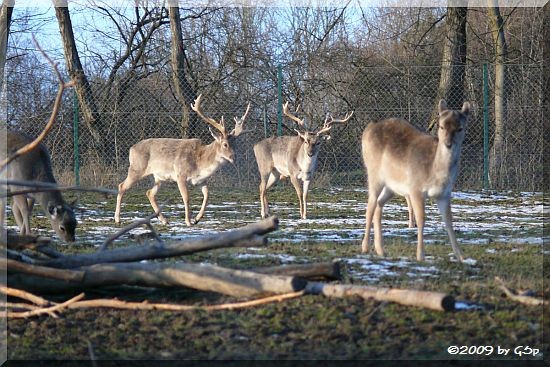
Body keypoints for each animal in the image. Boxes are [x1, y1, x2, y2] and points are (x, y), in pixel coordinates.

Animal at [117, 94, 254, 227]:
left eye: (235, 144)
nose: (233, 157)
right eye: (225, 144)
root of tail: (131, 149)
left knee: (149, 193)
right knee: (122, 186)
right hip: (137, 168)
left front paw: (197, 219)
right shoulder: (180, 174)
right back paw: (118, 219)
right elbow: (186, 197)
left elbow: (207, 195)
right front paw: (188, 221)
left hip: (159, 177)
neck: (200, 163)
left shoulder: (201, 180)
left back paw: (164, 221)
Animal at [362, 100, 470, 262]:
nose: (448, 143)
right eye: (441, 126)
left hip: (391, 186)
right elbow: (421, 219)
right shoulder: (415, 189)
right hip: (373, 173)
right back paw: (365, 247)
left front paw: (461, 256)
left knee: (379, 204)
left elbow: (449, 221)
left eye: (460, 128)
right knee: (370, 205)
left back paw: (381, 250)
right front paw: (420, 255)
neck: (435, 172)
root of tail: (367, 129)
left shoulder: (445, 193)